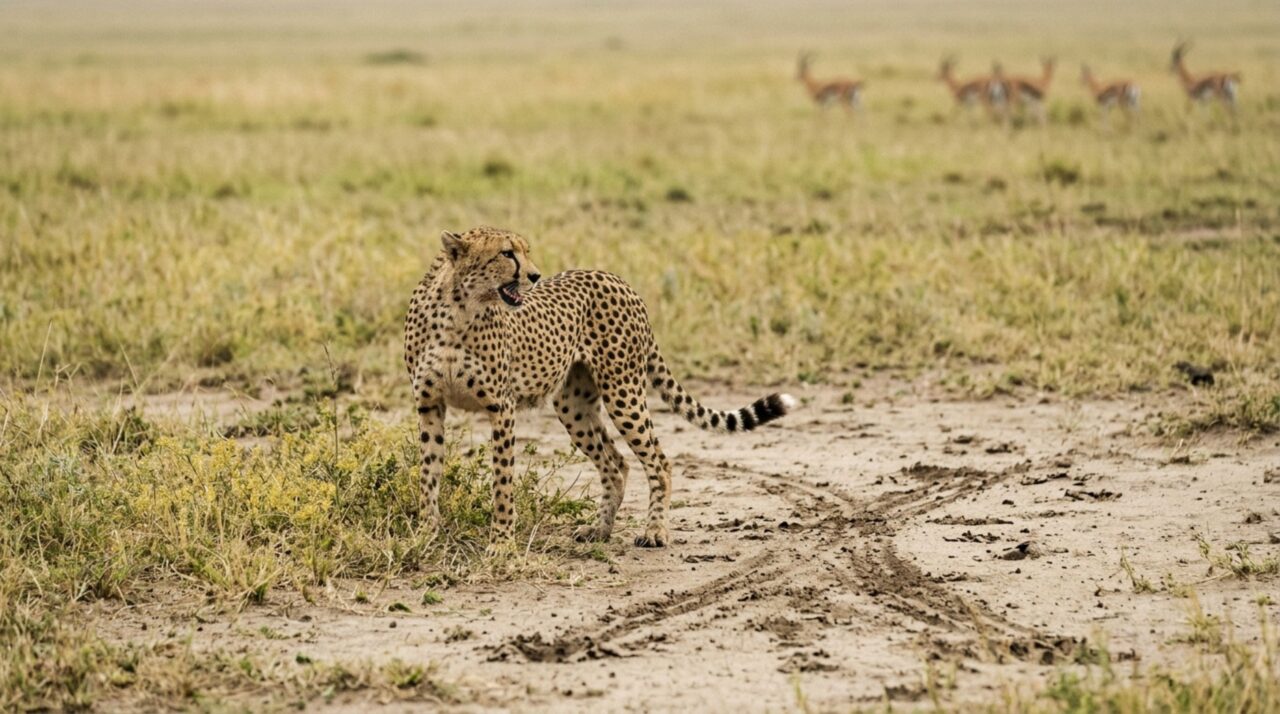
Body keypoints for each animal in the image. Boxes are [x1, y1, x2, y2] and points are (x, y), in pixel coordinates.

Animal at [403, 226, 795, 547]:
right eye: (506, 253)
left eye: (525, 251)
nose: (535, 275)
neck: (458, 309)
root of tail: (617, 278)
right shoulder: (429, 404)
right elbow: (428, 472)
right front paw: (425, 533)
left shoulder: (501, 406)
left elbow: (502, 480)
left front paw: (501, 543)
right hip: (574, 406)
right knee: (615, 463)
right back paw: (600, 529)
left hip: (623, 391)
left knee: (658, 461)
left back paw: (655, 531)